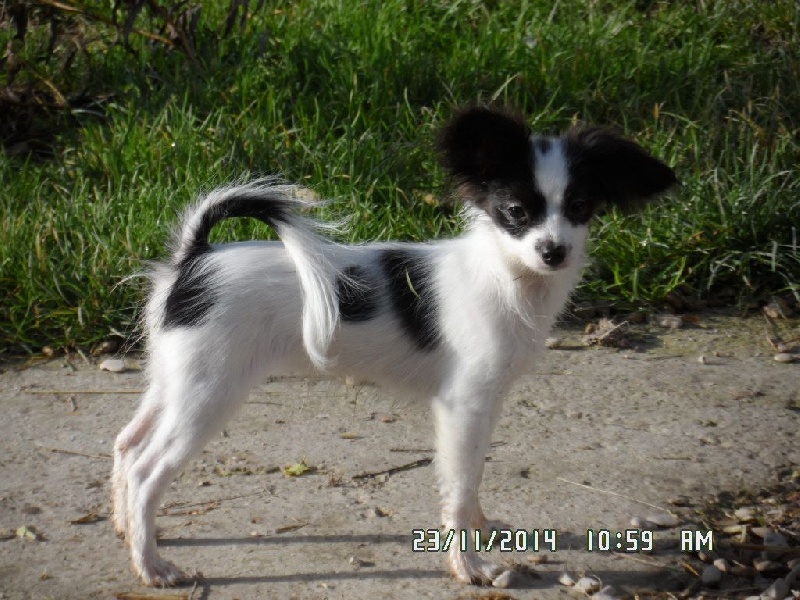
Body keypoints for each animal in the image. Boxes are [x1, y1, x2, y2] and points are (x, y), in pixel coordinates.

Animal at [112, 106, 677, 587]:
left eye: (580, 208)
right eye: (516, 211)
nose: (553, 251)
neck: (505, 278)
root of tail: (195, 257)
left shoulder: (488, 403)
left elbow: (473, 477)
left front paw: (484, 526)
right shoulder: (463, 405)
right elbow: (458, 485)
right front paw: (469, 566)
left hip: (176, 379)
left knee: (127, 444)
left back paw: (126, 530)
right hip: (209, 393)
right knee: (145, 471)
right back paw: (152, 566)